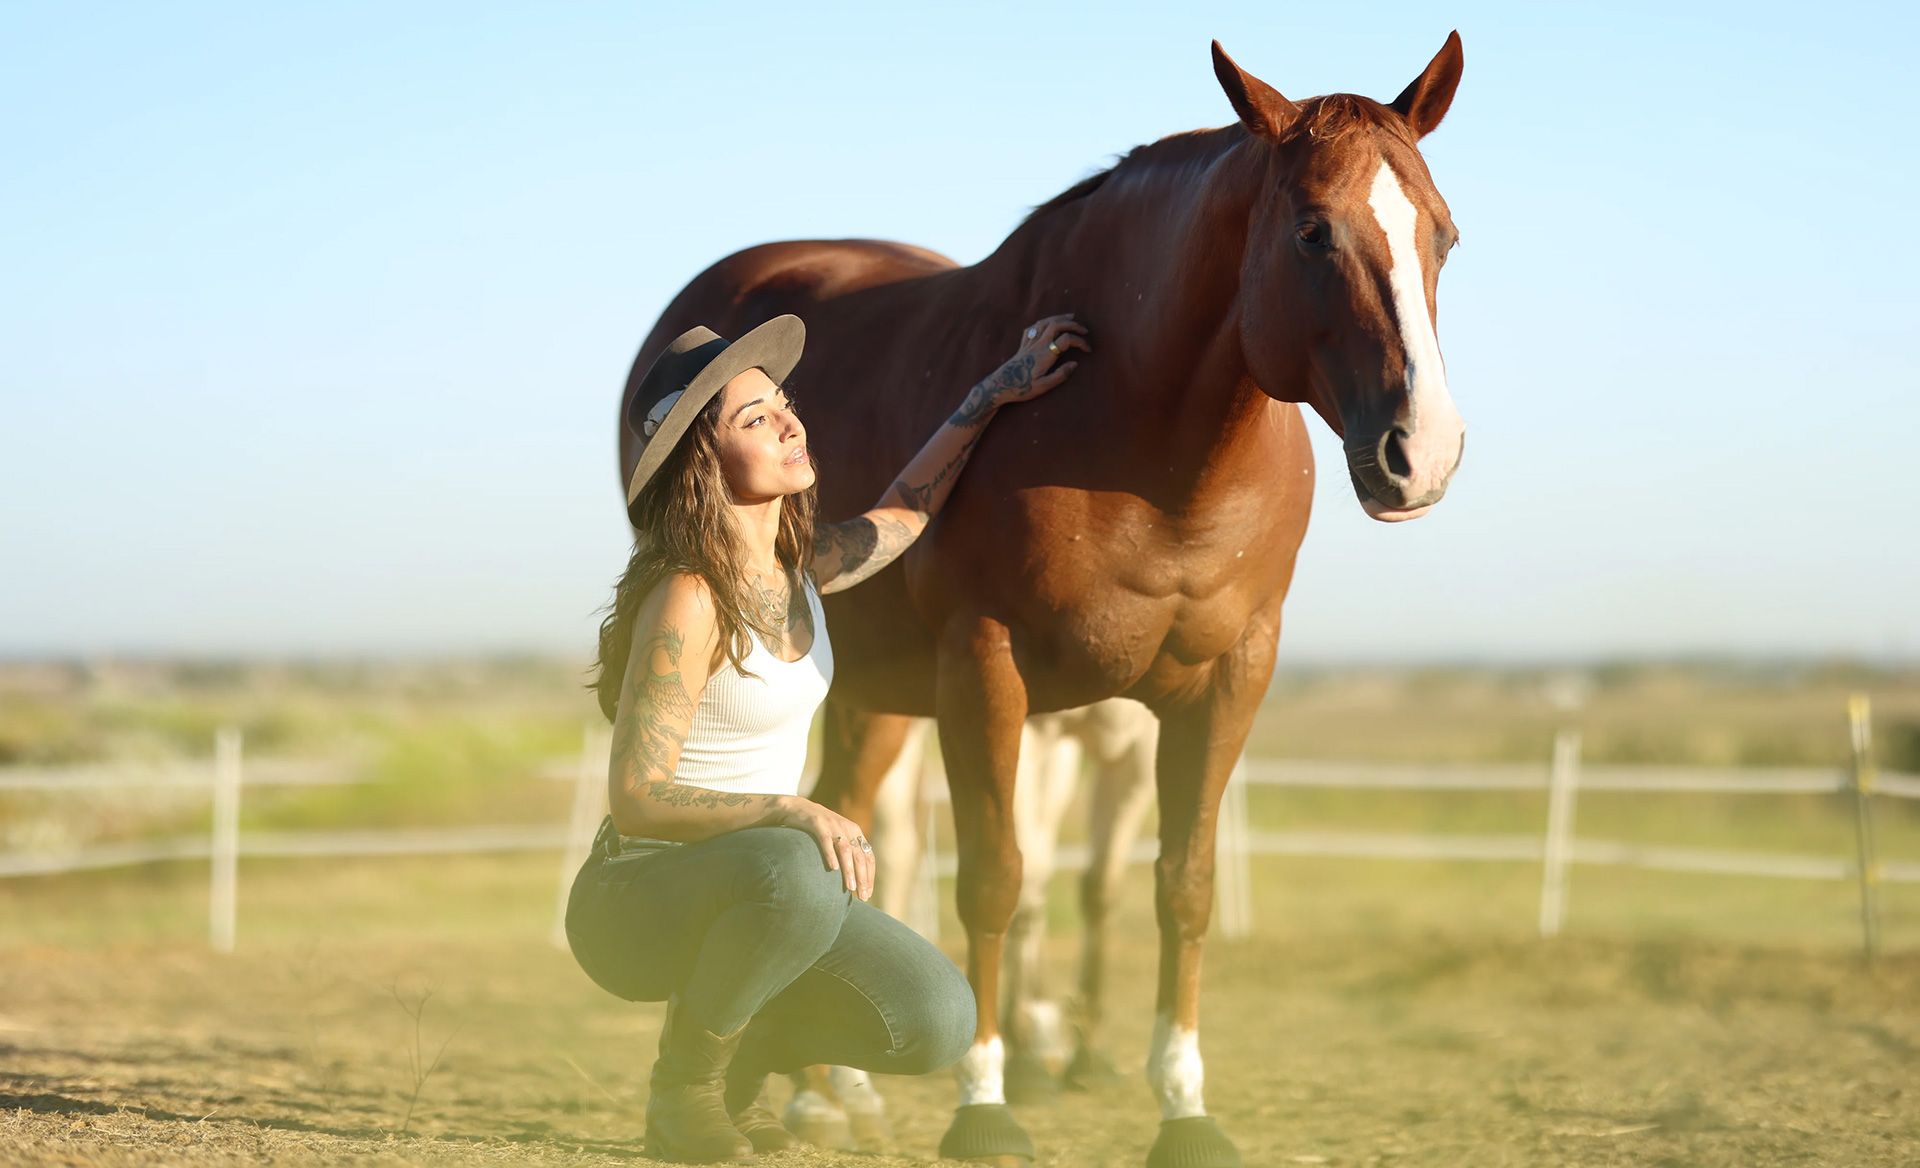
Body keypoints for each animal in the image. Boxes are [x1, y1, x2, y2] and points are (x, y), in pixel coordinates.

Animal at [620, 33, 1468, 1168]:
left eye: (1444, 236)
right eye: (1312, 232)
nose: (1422, 452)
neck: (1142, 444)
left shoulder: (1228, 677)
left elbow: (1179, 884)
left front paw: (1183, 1108)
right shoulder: (988, 669)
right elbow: (998, 878)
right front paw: (986, 1102)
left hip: (870, 691)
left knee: (851, 825)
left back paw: (831, 1087)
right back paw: (809, 1092)